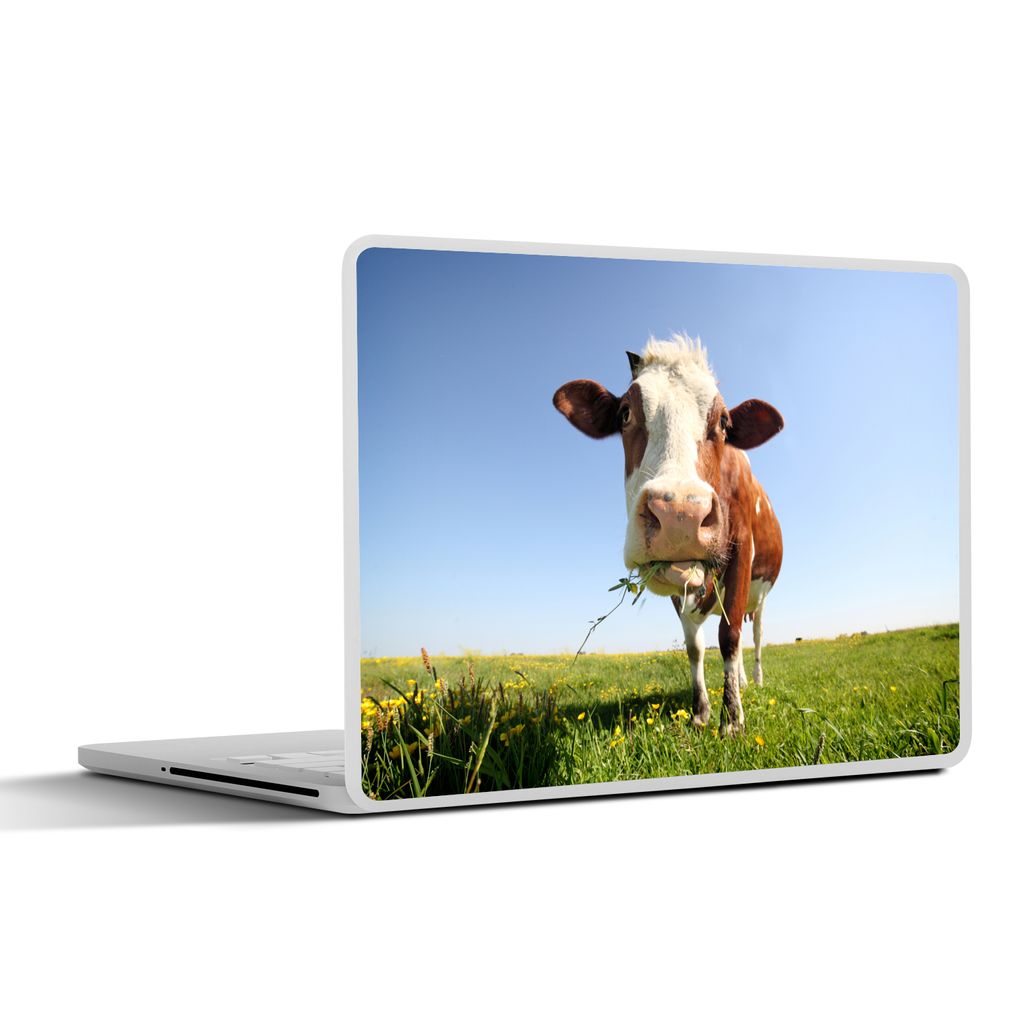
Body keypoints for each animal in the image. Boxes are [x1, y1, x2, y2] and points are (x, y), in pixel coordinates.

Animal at [552, 335, 783, 737]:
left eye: (724, 422)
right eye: (625, 413)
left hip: (762, 595)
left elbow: (729, 637)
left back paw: (752, 680)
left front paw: (732, 720)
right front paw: (701, 712)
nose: (680, 515)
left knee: (752, 637)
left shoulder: (741, 551)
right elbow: (695, 646)